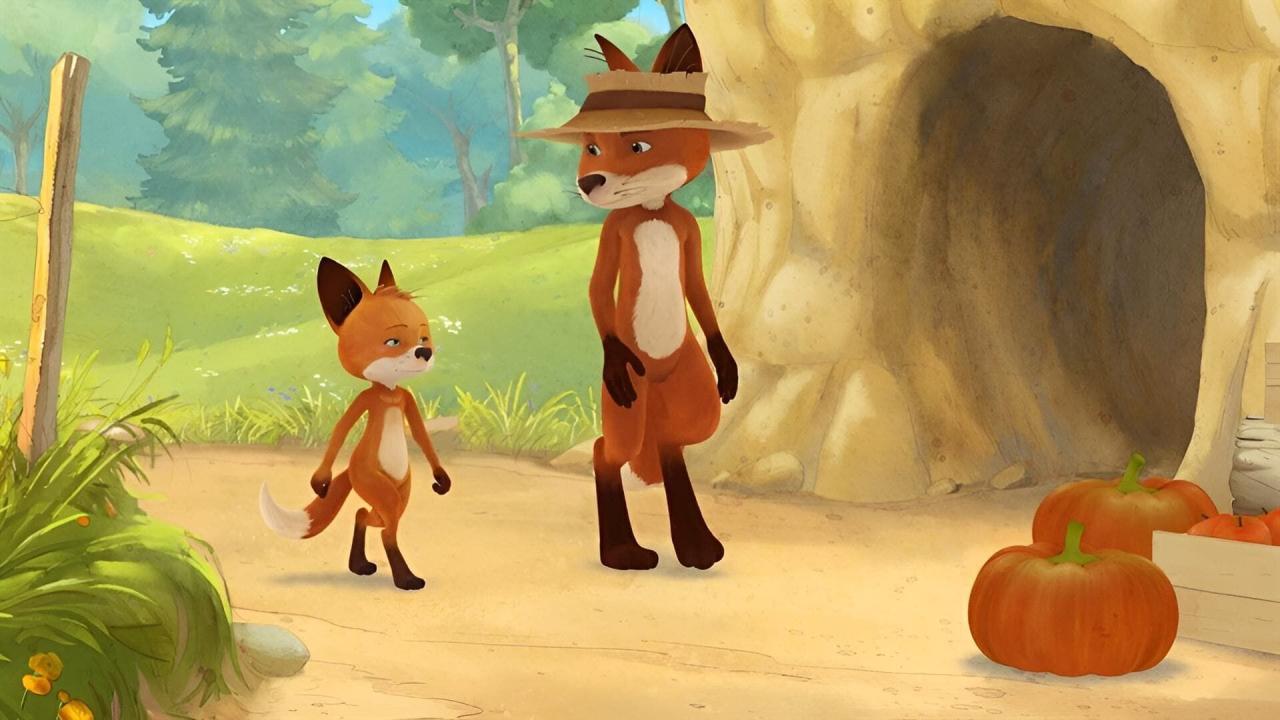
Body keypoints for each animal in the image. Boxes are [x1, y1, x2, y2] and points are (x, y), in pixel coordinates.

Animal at [259, 257, 451, 591]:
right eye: (392, 341)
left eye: (424, 337)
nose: (425, 352)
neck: (388, 392)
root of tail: (351, 471)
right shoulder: (366, 400)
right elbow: (341, 429)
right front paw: (320, 479)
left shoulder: (406, 399)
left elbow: (420, 434)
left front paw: (441, 478)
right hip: (378, 485)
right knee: (383, 526)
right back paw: (401, 578)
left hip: (402, 491)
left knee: (368, 515)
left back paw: (361, 565)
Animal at [567, 27, 741, 571]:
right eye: (592, 148)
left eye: (638, 144)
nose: (589, 182)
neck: (650, 209)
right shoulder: (615, 232)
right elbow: (598, 287)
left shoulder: (687, 234)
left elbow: (699, 290)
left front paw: (728, 364)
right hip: (630, 401)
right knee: (608, 449)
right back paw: (621, 551)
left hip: (683, 382)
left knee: (670, 439)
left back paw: (695, 544)